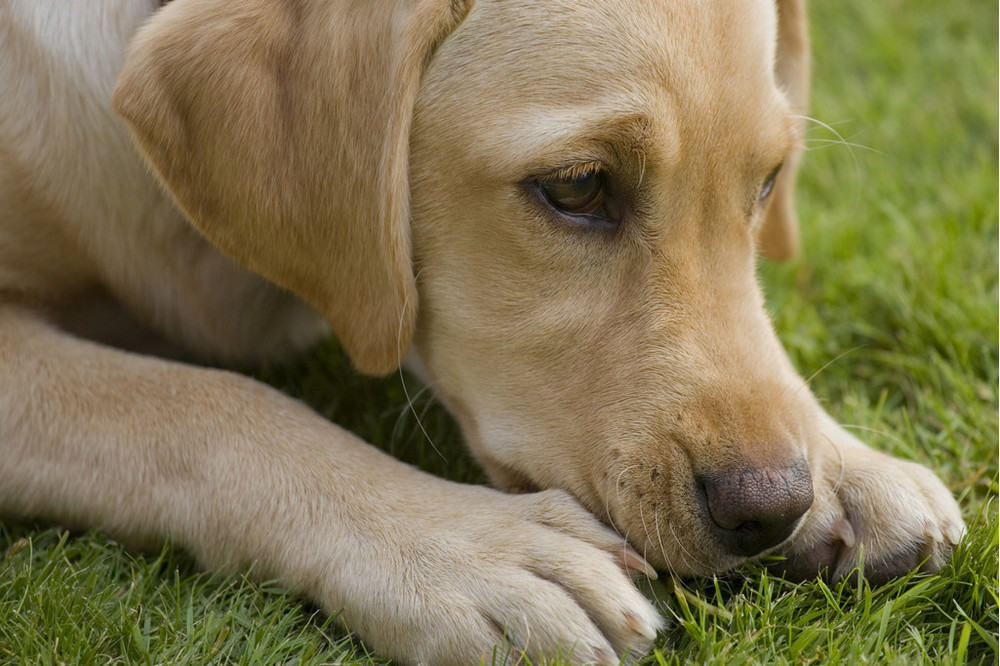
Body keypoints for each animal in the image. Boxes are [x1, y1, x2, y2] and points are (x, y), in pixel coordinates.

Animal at [1, 0, 968, 660]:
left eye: (768, 182)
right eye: (577, 187)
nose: (771, 506)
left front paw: (848, 464)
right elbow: (206, 402)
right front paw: (464, 552)